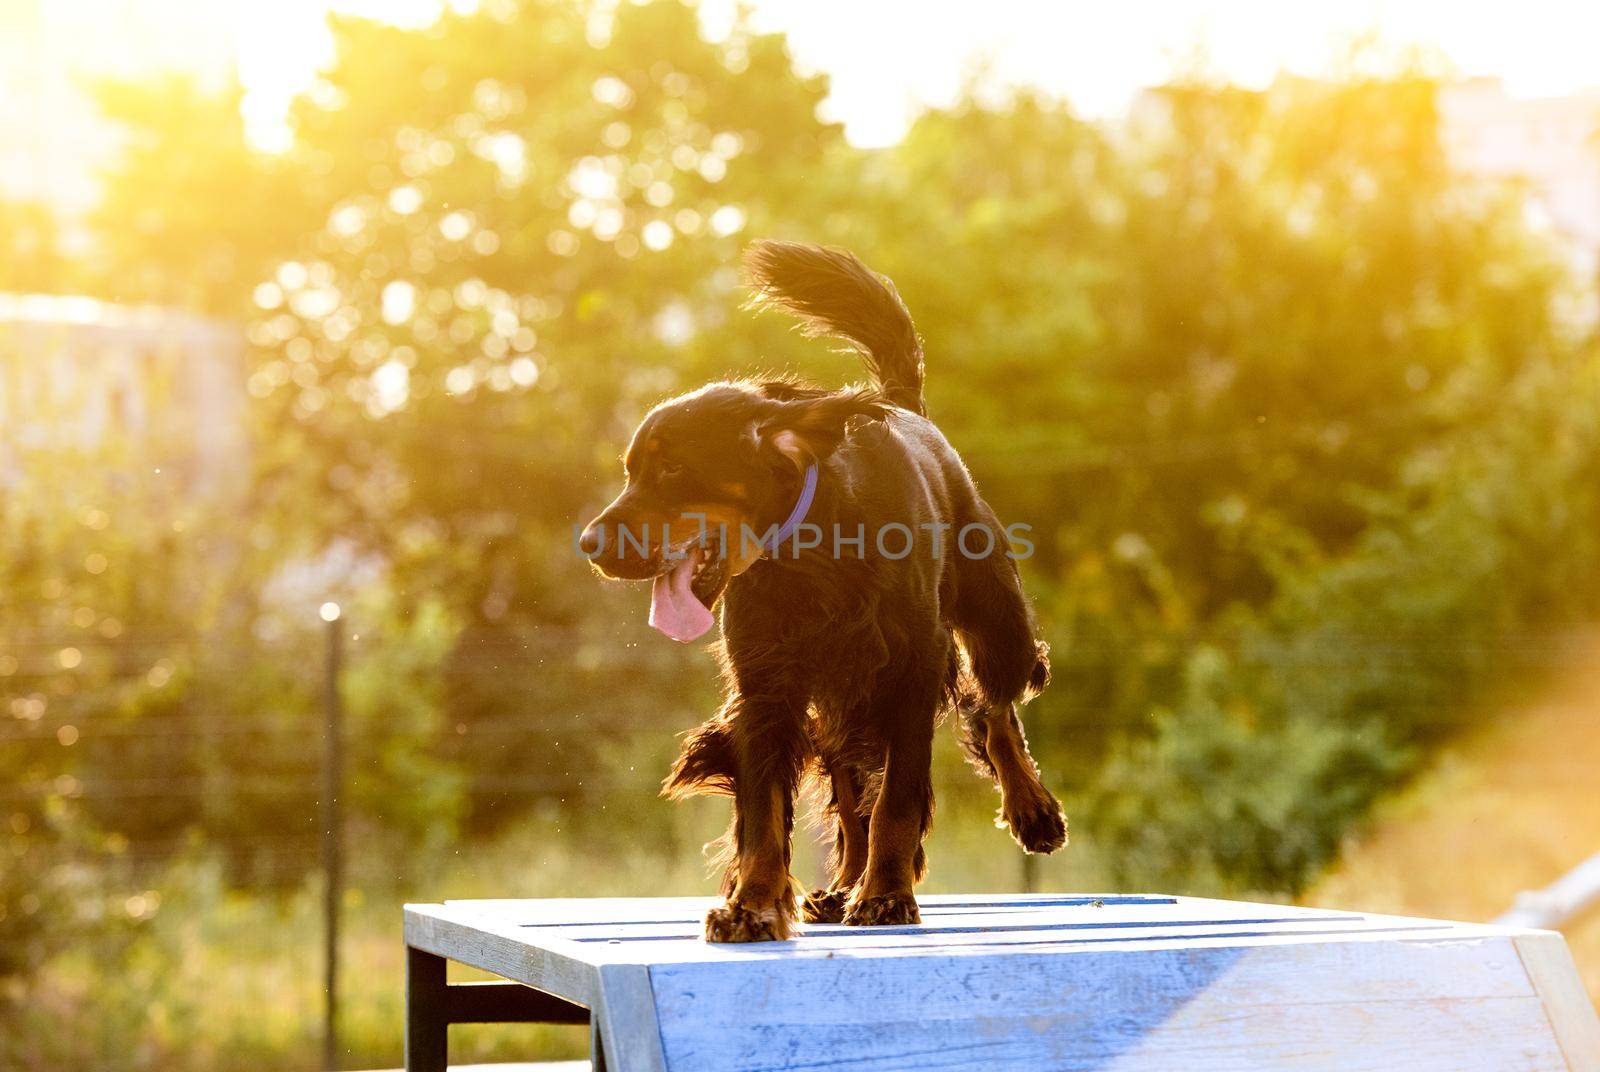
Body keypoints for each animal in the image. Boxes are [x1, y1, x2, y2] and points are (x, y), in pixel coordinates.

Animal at [576, 241, 1062, 940]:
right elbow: (768, 811)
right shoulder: (768, 688)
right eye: (630, 472)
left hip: (996, 624)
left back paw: (1031, 810)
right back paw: (840, 888)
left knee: (993, 707)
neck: (812, 550)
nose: (588, 542)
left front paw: (886, 895)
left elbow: (897, 799)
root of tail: (906, 407)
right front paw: (753, 903)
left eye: (671, 468)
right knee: (852, 791)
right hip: (842, 697)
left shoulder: (910, 670)